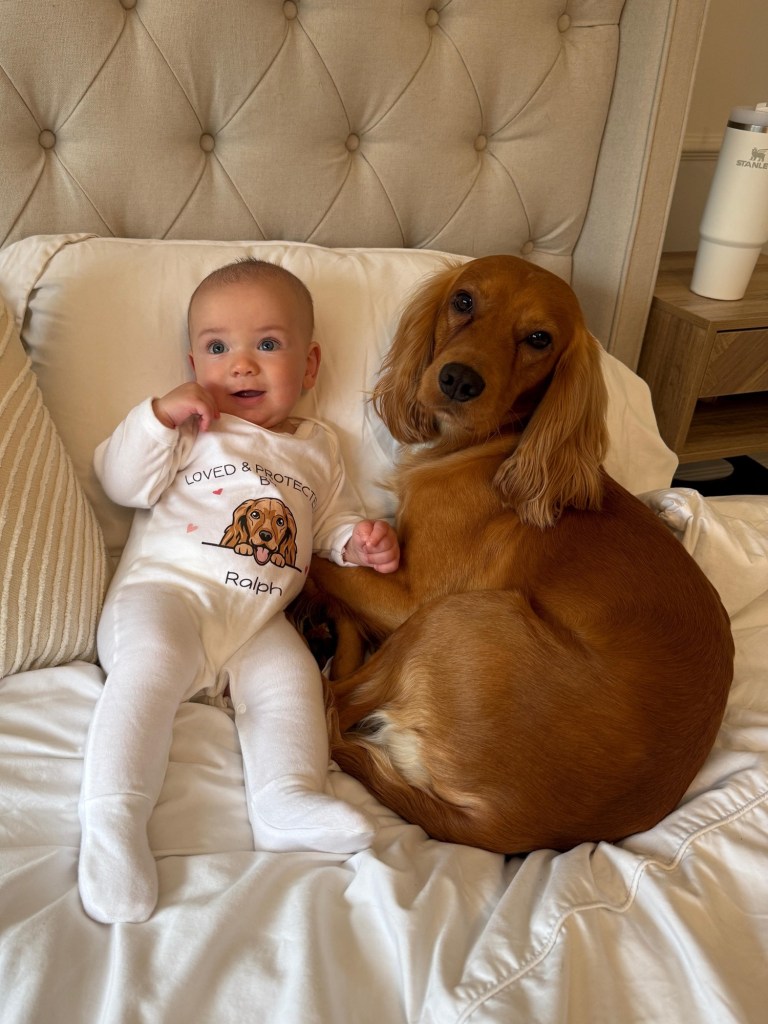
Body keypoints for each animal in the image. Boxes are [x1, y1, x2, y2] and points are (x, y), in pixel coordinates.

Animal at [305, 254, 734, 854]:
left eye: (538, 339)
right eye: (462, 301)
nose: (458, 380)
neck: (498, 447)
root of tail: (504, 827)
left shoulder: (412, 599)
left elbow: (320, 565)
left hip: (464, 615)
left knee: (335, 699)